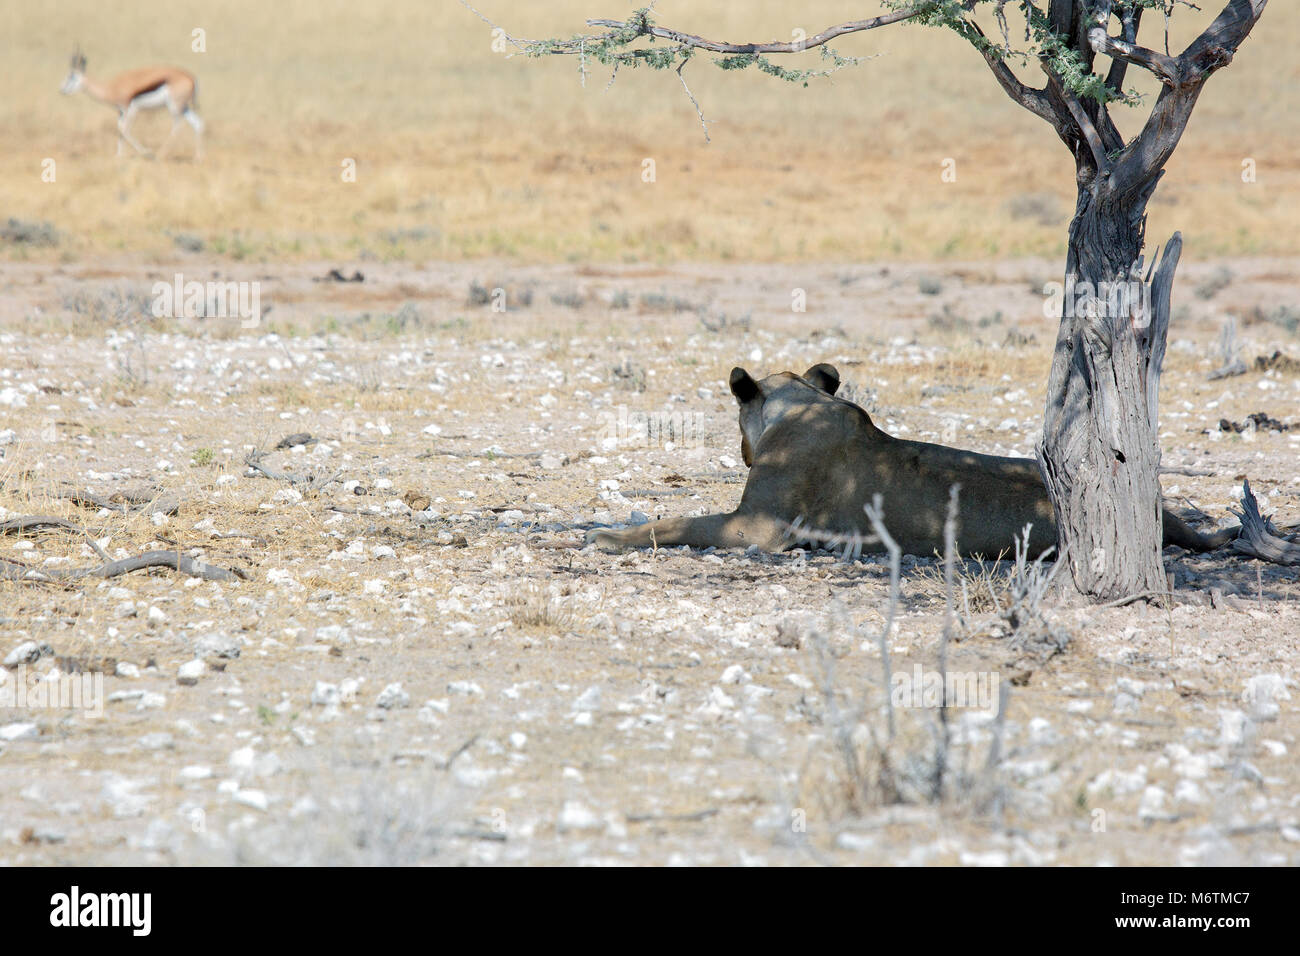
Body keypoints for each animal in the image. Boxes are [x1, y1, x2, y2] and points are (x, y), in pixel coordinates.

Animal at [60, 48, 202, 158]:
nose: (61, 90)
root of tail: (191, 77)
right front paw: (118, 156)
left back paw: (160, 154)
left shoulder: (131, 109)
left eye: (71, 76)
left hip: (174, 107)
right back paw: (198, 158)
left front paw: (147, 152)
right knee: (198, 124)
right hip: (184, 107)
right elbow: (119, 129)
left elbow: (124, 130)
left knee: (178, 126)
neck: (112, 88)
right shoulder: (121, 112)